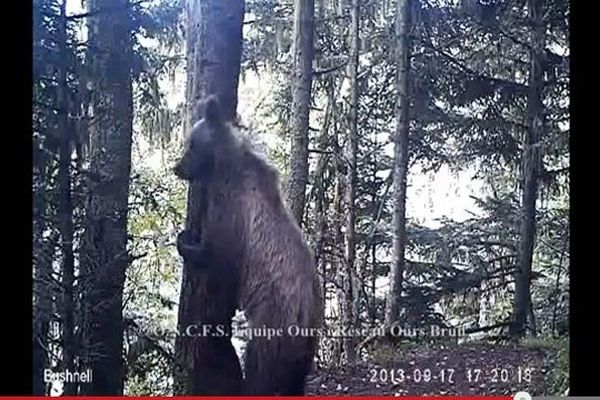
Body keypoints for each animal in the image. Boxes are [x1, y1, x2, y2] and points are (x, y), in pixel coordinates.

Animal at [173, 96, 324, 394]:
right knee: (294, 377)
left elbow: (219, 255)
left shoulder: (232, 211)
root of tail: (309, 312)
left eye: (191, 144)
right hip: (305, 345)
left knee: (260, 365)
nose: (177, 167)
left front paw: (185, 242)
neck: (223, 166)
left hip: (273, 319)